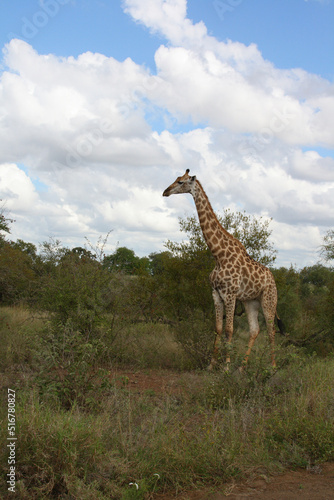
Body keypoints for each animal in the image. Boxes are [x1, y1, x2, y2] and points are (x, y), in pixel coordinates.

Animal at [163, 170, 284, 370]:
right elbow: (218, 328)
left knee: (271, 330)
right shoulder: (216, 293)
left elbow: (229, 329)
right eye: (175, 179)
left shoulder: (230, 293)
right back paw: (242, 367)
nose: (165, 191)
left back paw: (272, 367)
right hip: (251, 302)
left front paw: (226, 366)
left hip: (269, 300)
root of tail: (273, 280)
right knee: (255, 330)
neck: (219, 255)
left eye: (180, 182)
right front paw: (212, 365)